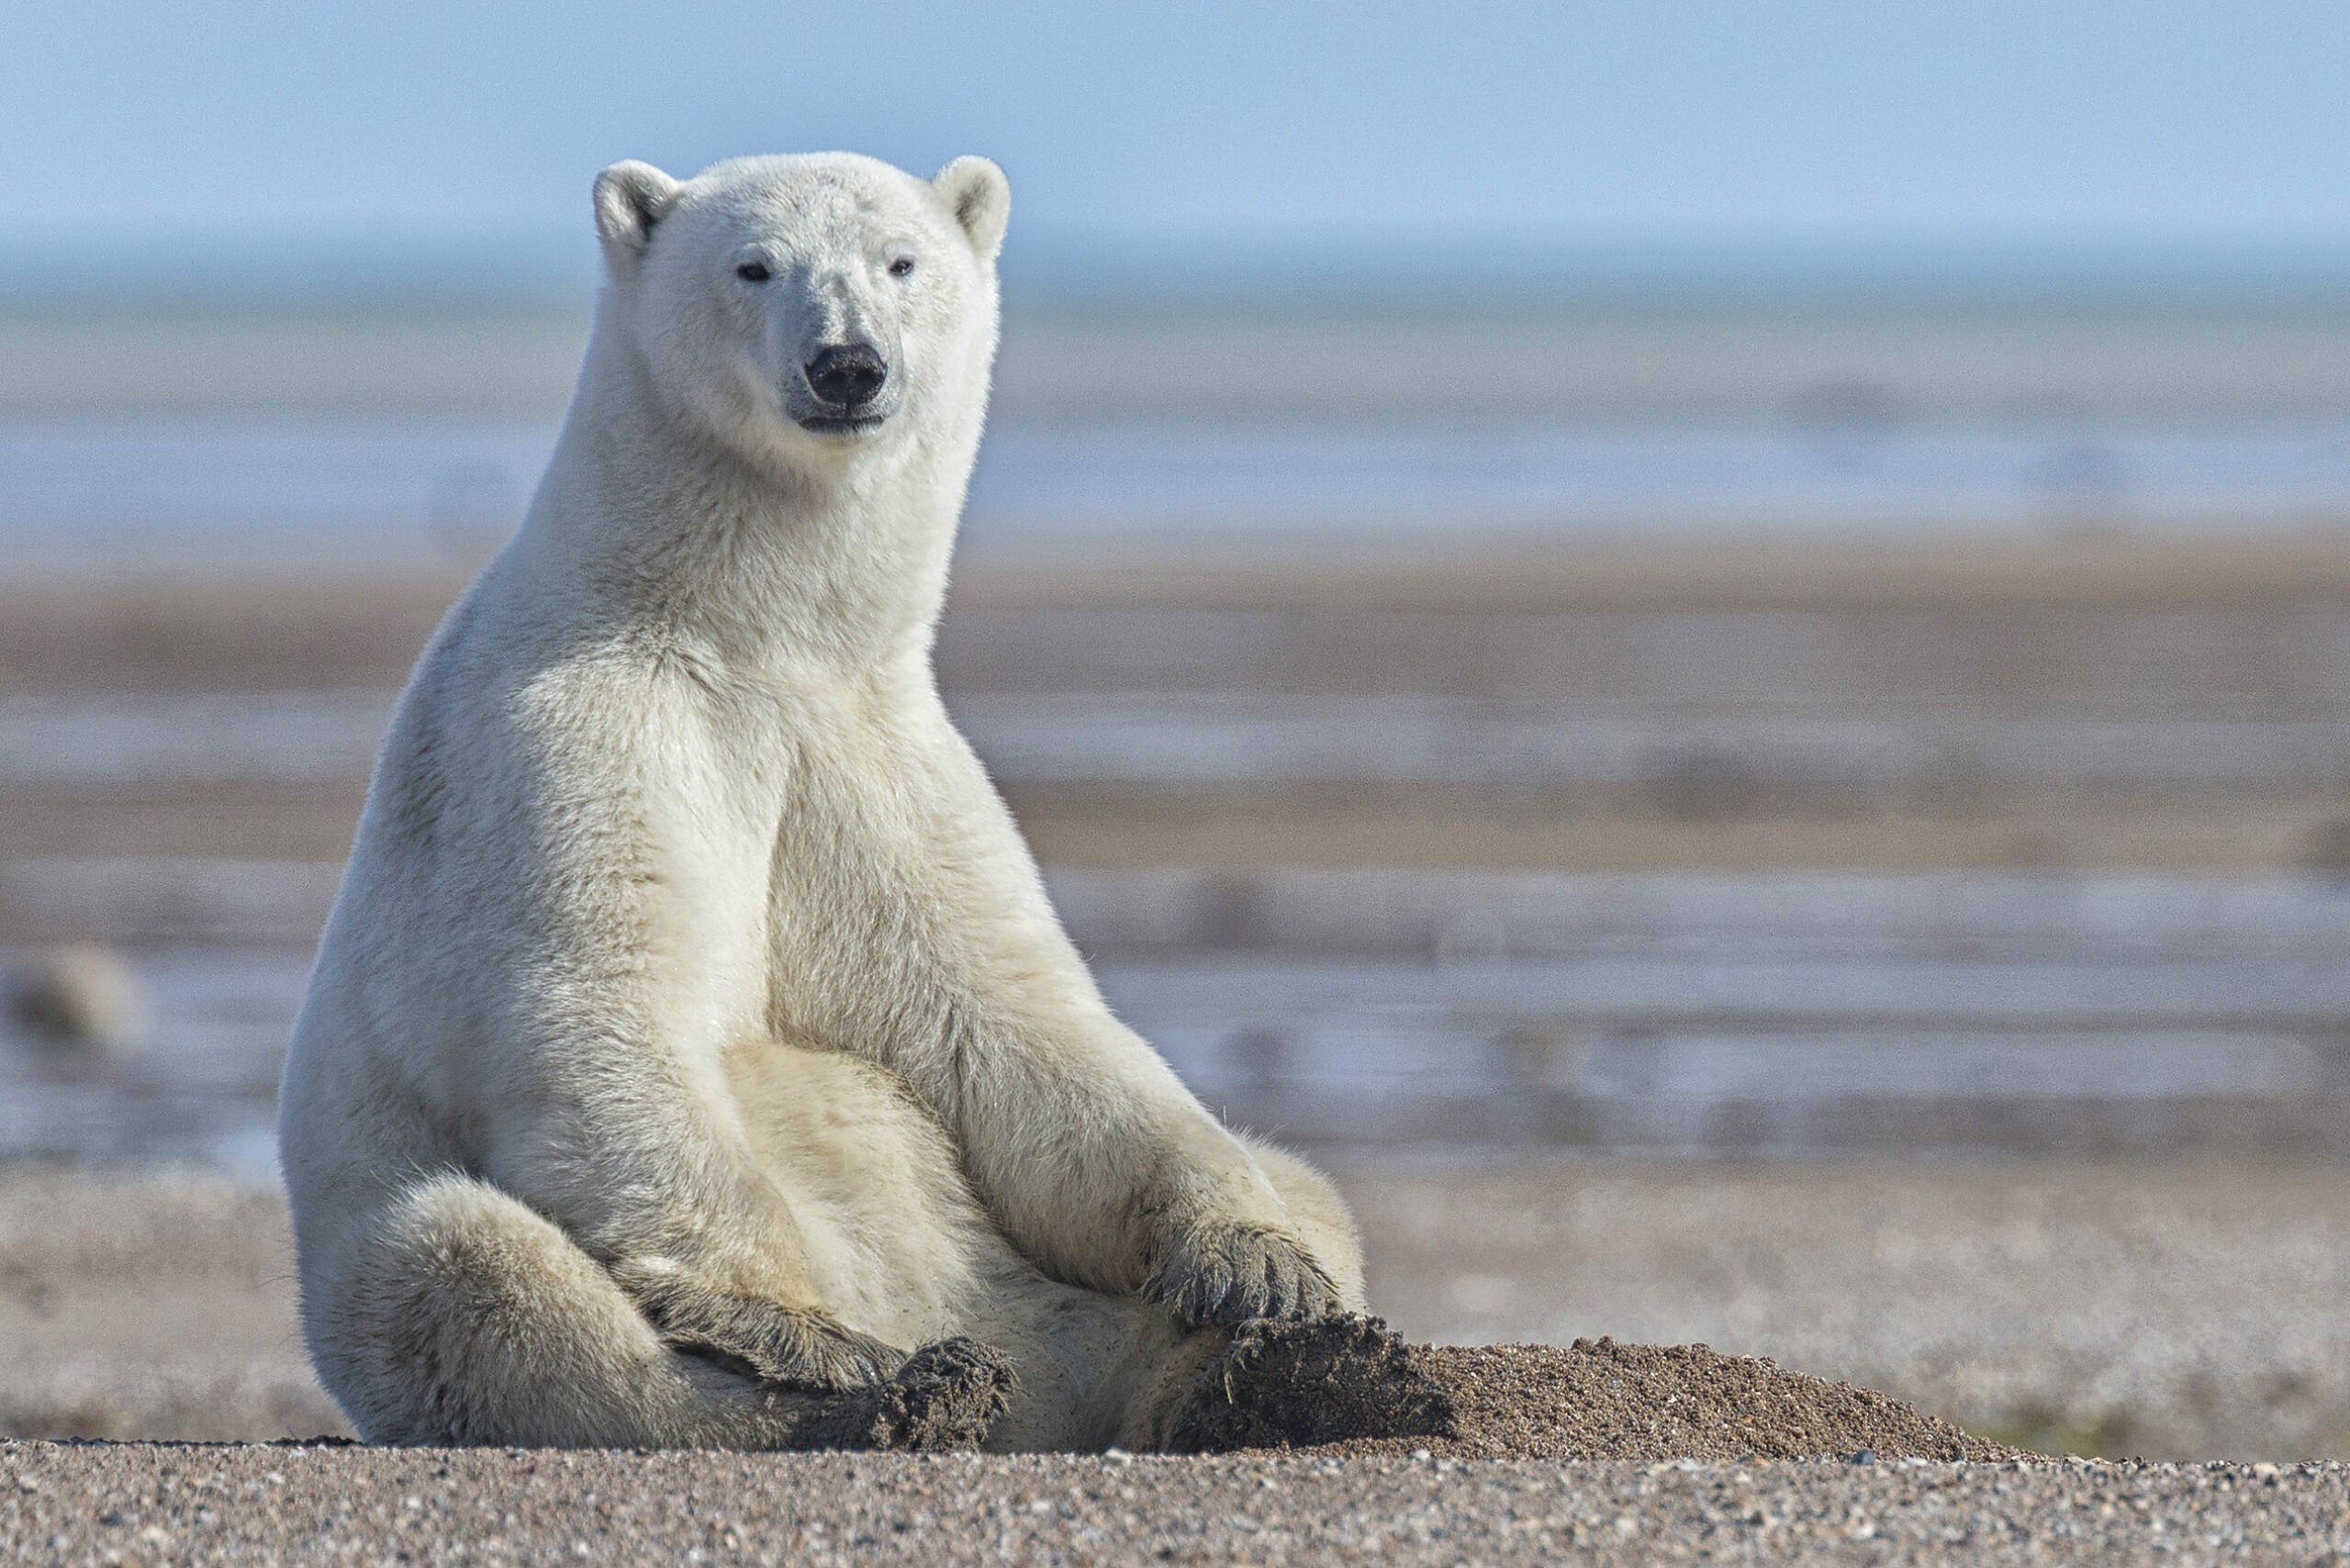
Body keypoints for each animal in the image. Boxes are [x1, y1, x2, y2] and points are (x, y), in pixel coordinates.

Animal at [276, 151, 1368, 1453]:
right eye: (753, 266)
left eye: (901, 260)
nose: (848, 364)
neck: (738, 635)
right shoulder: (568, 738)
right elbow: (601, 1007)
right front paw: (802, 1329)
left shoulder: (872, 765)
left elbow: (1014, 1028)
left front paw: (1256, 1269)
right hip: (375, 1273)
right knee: (470, 1271)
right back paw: (893, 1389)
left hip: (1019, 1284)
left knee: (1306, 1191)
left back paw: (1280, 1373)